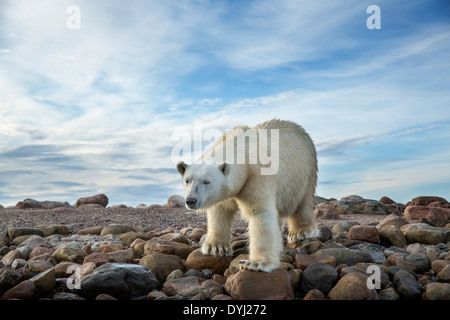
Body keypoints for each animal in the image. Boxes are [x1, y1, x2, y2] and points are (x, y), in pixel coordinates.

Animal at [176, 119, 320, 272]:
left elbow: (260, 213)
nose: (191, 200)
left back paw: (300, 232)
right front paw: (216, 247)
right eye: (187, 180)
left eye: (206, 181)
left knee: (303, 202)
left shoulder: (256, 177)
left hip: (305, 174)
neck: (241, 149)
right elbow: (220, 211)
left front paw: (256, 263)